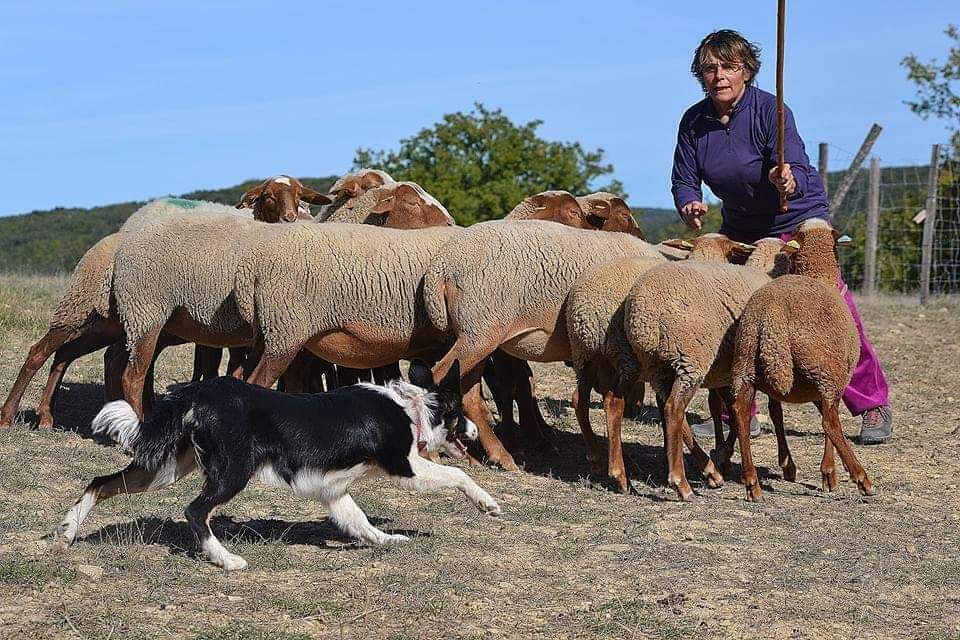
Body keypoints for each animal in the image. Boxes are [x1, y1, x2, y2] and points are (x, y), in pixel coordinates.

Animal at [50, 358, 502, 572]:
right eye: (462, 413)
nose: (476, 432)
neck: (412, 407)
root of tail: (198, 391)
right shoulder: (406, 467)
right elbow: (457, 473)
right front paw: (487, 502)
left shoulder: (332, 490)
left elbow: (359, 521)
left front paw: (386, 540)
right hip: (232, 471)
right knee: (195, 511)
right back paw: (225, 560)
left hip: (164, 468)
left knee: (100, 482)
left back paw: (68, 531)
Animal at [424, 220, 664, 470]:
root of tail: (441, 266)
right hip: (479, 332)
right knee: (437, 376)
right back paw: (430, 454)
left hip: (477, 337)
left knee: (469, 396)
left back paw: (500, 455)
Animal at [564, 234, 752, 490]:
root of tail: (590, 307)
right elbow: (729, 411)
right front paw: (722, 457)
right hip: (628, 359)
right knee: (615, 403)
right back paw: (623, 474)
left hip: (586, 355)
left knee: (580, 400)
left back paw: (597, 458)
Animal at [620, 235, 792, 500]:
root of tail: (645, 314)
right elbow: (769, 411)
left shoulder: (725, 373)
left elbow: (730, 410)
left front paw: (723, 455)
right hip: (690, 359)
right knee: (673, 408)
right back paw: (681, 482)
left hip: (657, 367)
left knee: (671, 411)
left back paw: (710, 472)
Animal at [732, 219, 872, 500]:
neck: (820, 276)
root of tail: (772, 312)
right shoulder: (829, 381)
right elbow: (827, 421)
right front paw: (829, 474)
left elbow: (776, 414)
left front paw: (790, 466)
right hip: (825, 370)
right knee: (829, 423)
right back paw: (861, 478)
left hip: (746, 364)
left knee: (740, 414)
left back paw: (752, 483)